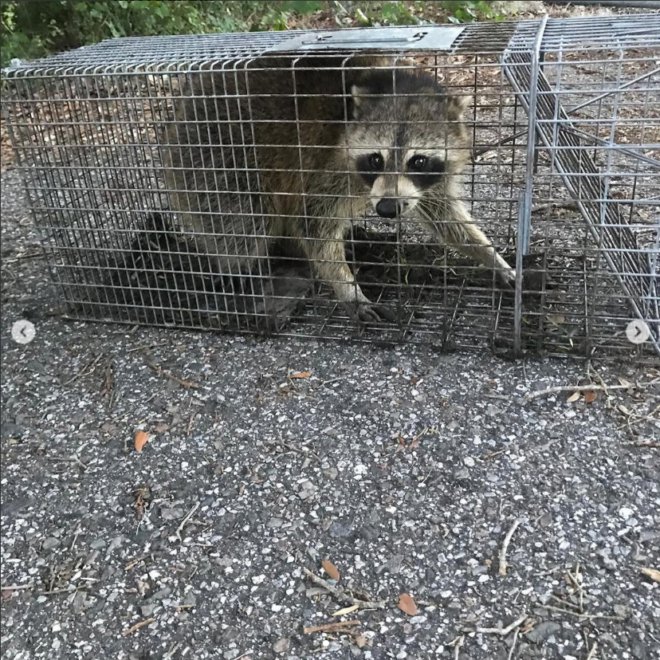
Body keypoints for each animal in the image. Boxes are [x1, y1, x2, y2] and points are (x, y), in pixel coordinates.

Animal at [162, 55, 515, 322]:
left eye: (418, 161)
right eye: (375, 159)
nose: (387, 209)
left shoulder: (426, 181)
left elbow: (444, 216)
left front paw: (491, 256)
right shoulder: (327, 164)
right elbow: (314, 223)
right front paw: (347, 287)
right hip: (218, 154)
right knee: (244, 223)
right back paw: (248, 269)